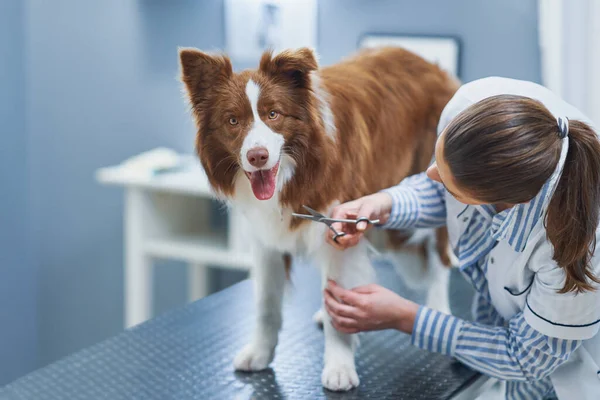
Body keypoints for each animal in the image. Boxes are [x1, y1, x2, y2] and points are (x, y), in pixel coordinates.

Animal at [179, 46, 460, 390]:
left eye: (273, 114)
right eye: (233, 120)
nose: (257, 156)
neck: (293, 175)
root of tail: (431, 65)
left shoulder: (340, 229)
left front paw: (339, 368)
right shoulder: (266, 240)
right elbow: (266, 304)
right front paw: (259, 353)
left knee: (440, 259)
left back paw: (438, 309)